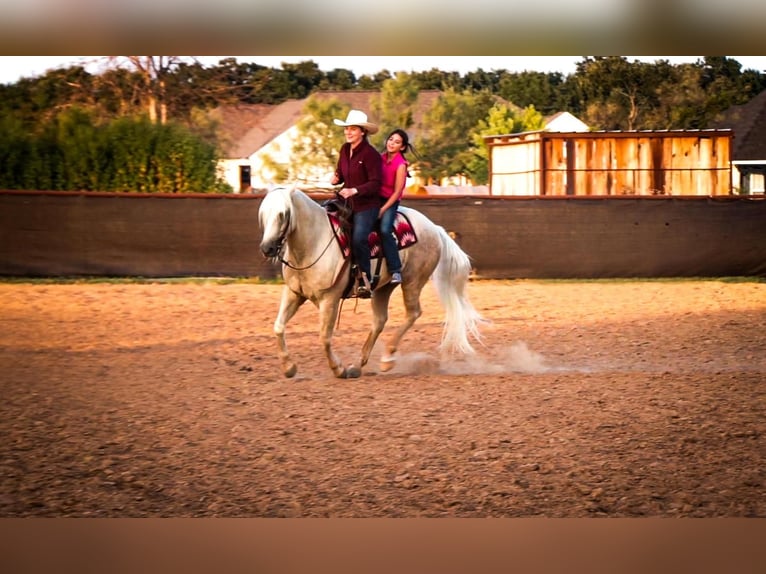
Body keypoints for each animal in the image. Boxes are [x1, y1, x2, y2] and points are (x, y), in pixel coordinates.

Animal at [258, 187, 486, 380]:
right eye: (264, 215)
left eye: (282, 214)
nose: (267, 248)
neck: (315, 241)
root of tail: (435, 228)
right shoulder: (294, 293)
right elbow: (278, 327)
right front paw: (289, 367)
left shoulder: (329, 299)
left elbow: (324, 337)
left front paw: (338, 369)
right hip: (383, 288)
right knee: (379, 321)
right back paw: (358, 366)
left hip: (412, 281)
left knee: (412, 313)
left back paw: (386, 359)